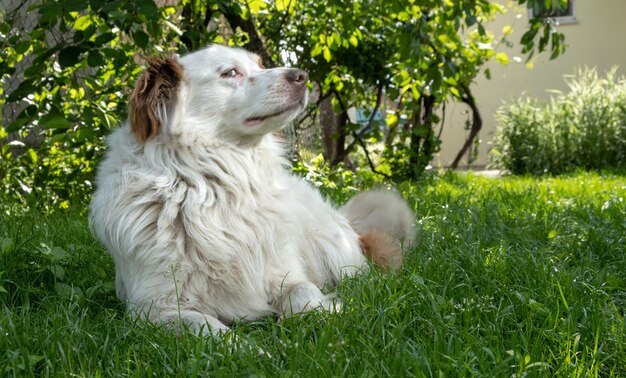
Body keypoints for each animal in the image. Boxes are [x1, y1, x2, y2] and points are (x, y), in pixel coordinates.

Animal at [88, 44, 412, 336]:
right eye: (231, 72)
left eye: (259, 65)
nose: (302, 75)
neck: (218, 191)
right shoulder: (155, 308)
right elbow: (209, 330)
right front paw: (250, 349)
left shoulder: (286, 275)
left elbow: (304, 292)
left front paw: (320, 319)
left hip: (337, 250)